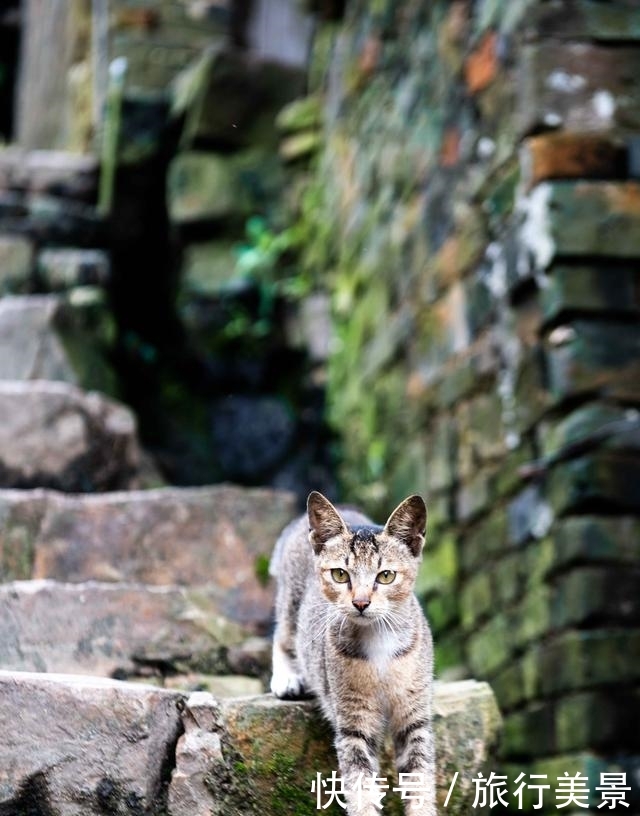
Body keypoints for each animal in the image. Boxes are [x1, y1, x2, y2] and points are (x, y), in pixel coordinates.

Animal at [270, 490, 436, 816]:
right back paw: (287, 678)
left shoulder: (415, 718)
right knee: (281, 636)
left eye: (385, 576)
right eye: (339, 574)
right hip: (291, 605)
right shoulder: (353, 721)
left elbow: (421, 780)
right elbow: (361, 787)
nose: (360, 602)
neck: (379, 641)